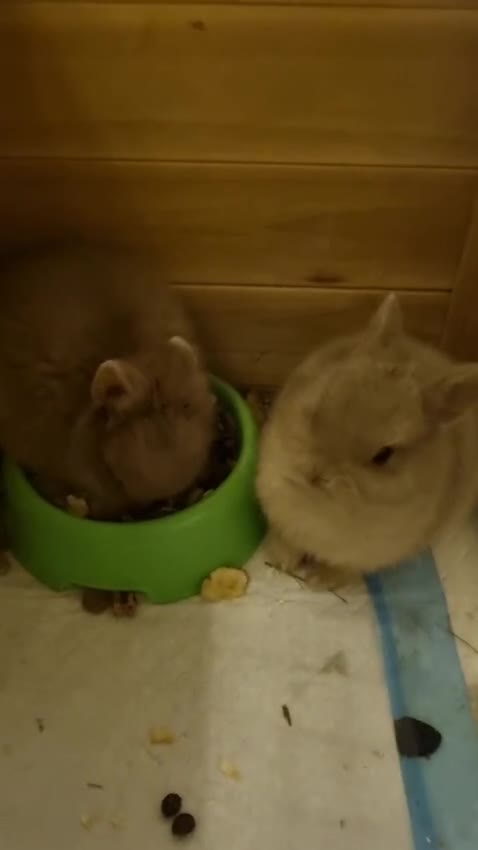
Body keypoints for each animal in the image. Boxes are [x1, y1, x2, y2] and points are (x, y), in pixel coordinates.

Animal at [257, 294, 478, 577]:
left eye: (383, 455)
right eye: (321, 404)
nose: (314, 474)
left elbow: (343, 567)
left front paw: (320, 579)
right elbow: (286, 539)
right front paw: (282, 561)